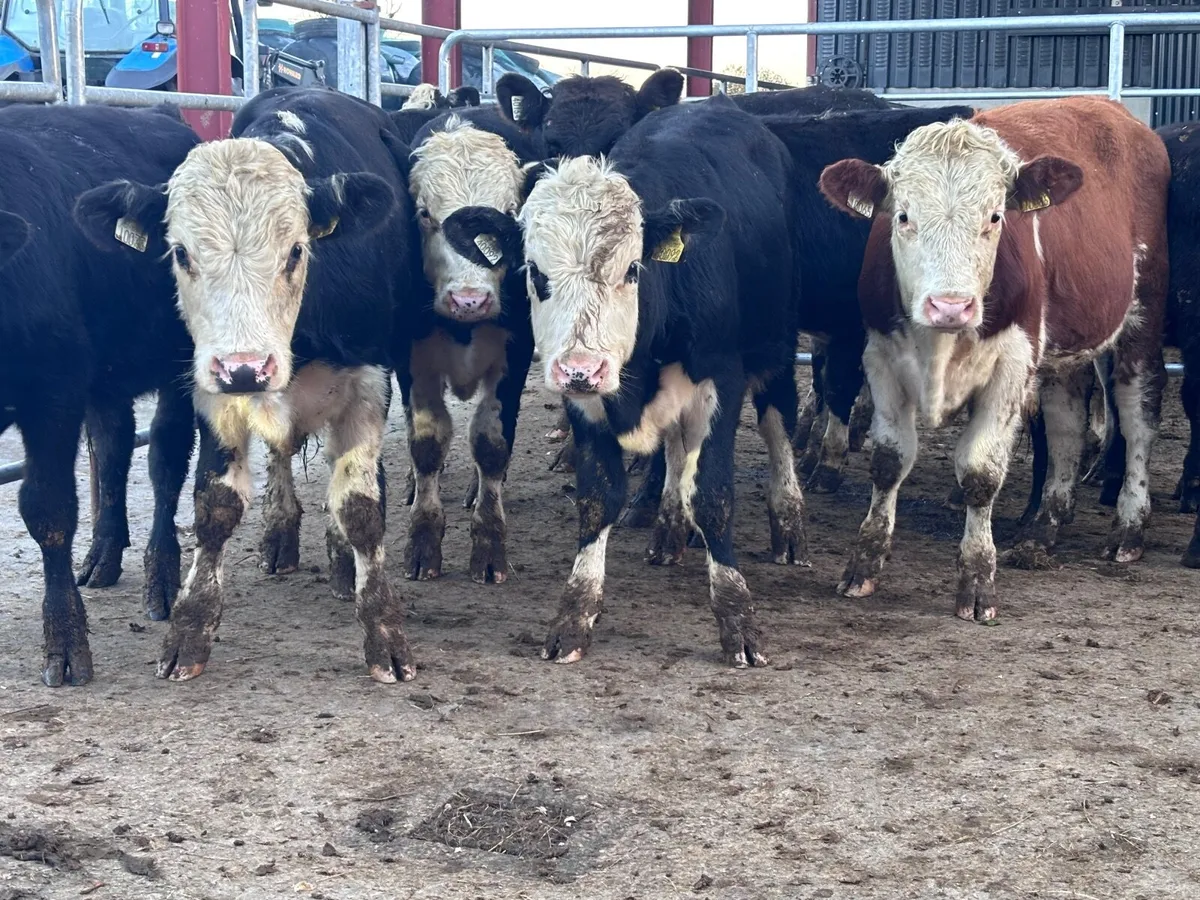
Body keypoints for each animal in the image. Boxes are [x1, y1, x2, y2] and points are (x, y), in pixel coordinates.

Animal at [0, 104, 199, 686]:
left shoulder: (53, 392)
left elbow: (48, 509)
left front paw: (65, 644)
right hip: (107, 378)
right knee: (111, 450)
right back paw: (103, 555)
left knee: (164, 458)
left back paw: (161, 577)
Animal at [77, 87, 422, 683]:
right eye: (181, 252)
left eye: (297, 250)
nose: (245, 368)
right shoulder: (213, 394)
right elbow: (214, 508)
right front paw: (188, 632)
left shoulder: (368, 385)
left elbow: (361, 509)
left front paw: (384, 633)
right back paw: (281, 533)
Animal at [397, 108, 540, 583]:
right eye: (424, 213)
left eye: (510, 215)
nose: (469, 300)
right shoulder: (411, 361)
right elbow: (426, 443)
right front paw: (422, 544)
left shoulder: (514, 359)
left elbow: (491, 443)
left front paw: (490, 546)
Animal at [444, 96, 809, 666]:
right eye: (534, 272)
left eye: (633, 268)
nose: (580, 368)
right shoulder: (587, 403)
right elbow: (599, 497)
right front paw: (574, 613)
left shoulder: (720, 381)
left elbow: (714, 496)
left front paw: (738, 620)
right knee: (676, 451)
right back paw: (667, 526)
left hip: (775, 343)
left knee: (778, 426)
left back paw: (788, 524)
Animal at [819, 97, 1168, 621]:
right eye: (902, 216)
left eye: (996, 217)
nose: (950, 306)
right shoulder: (880, 357)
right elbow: (888, 460)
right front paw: (864, 564)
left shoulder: (1012, 366)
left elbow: (981, 474)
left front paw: (977, 580)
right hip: (1064, 354)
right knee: (1066, 427)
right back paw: (1042, 530)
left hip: (1141, 320)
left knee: (1137, 418)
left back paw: (1128, 528)